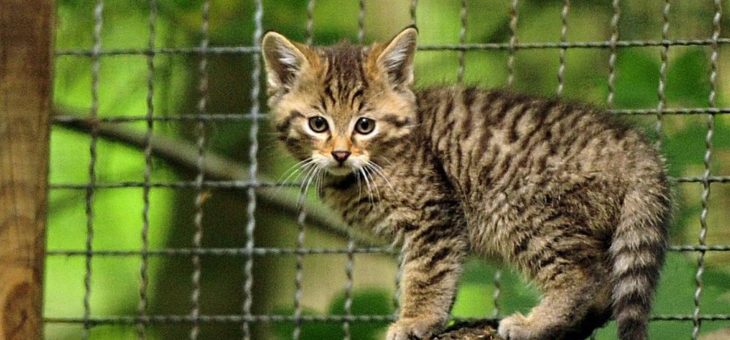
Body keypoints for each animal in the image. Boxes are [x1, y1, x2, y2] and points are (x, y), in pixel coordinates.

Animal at [262, 27, 672, 340]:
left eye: (365, 125)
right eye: (318, 124)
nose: (340, 153)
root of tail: (638, 148)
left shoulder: (435, 217)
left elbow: (427, 275)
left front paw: (416, 320)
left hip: (523, 212)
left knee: (587, 273)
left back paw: (535, 325)